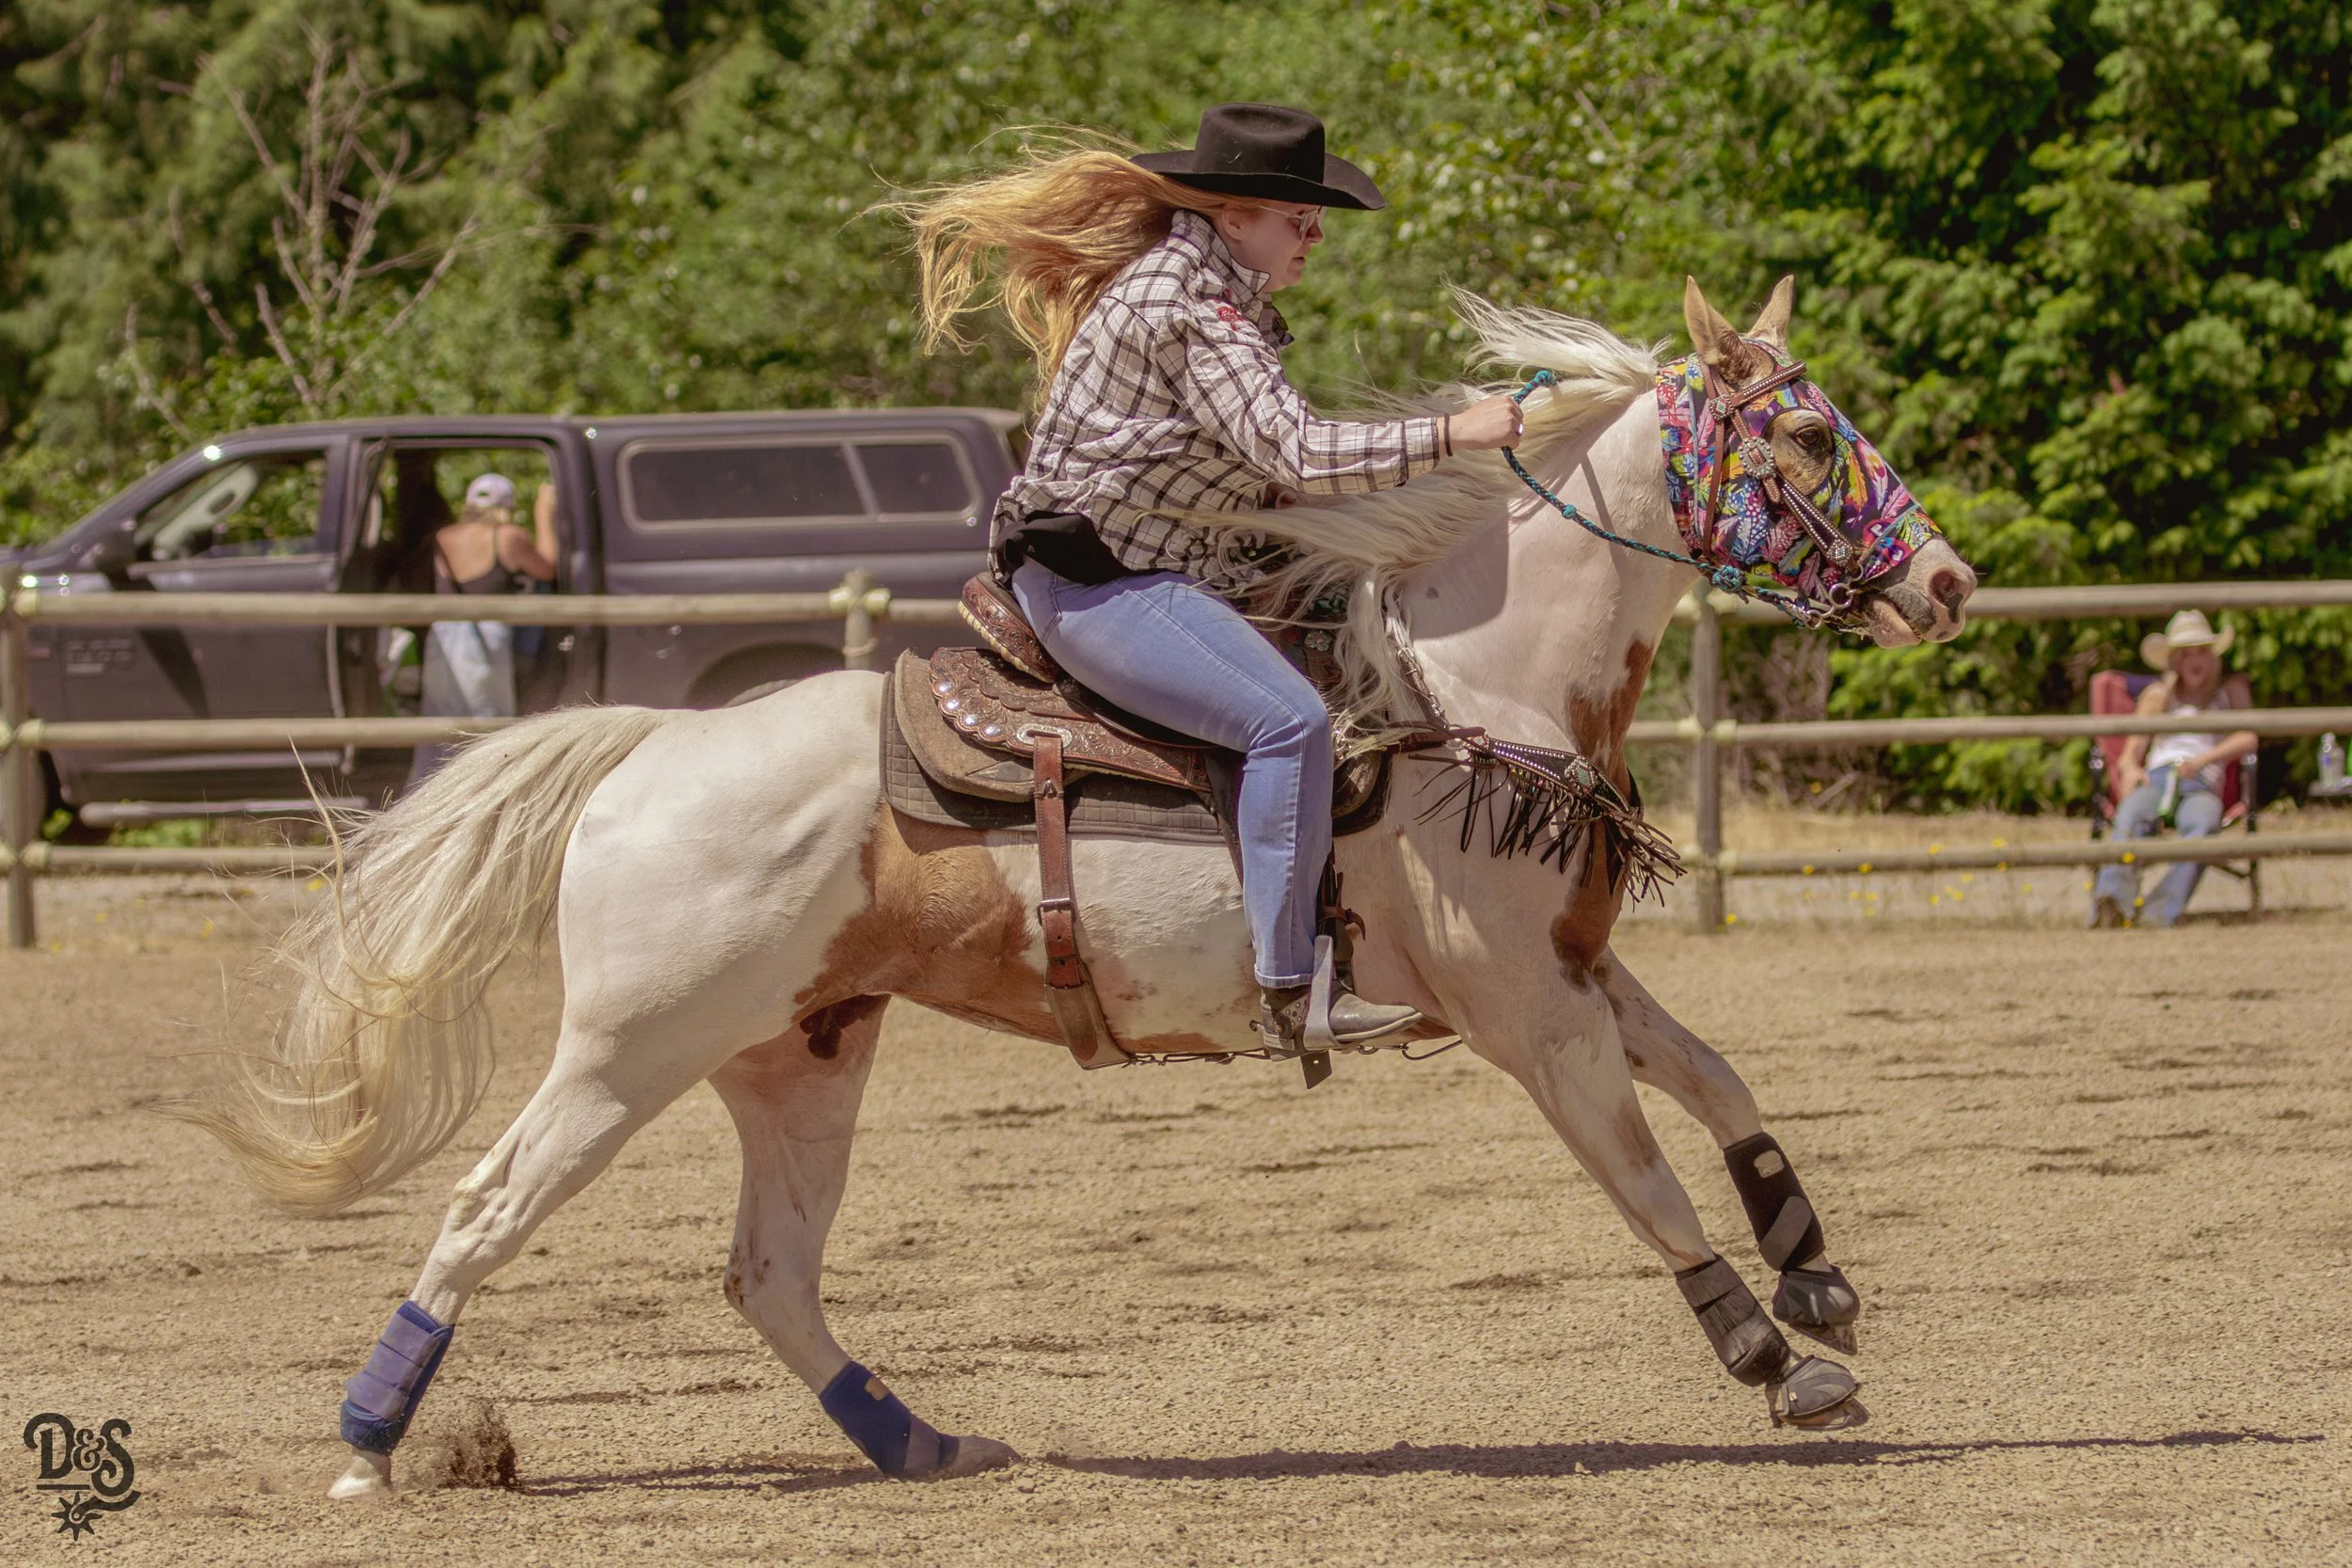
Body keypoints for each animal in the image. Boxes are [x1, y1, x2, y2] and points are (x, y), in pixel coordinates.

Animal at [184, 278, 1976, 1496]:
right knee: (487, 1209)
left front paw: (1814, 1266)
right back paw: (370, 1443)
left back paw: (919, 1439)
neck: (1472, 689)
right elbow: (1641, 1172)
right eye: (1806, 433)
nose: (1951, 582)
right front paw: (1772, 1355)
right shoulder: (1522, 1007)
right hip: (627, 1051)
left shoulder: (1580, 964)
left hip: (800, 1053)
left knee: (769, 1271)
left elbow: (1720, 1080)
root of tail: (650, 750)